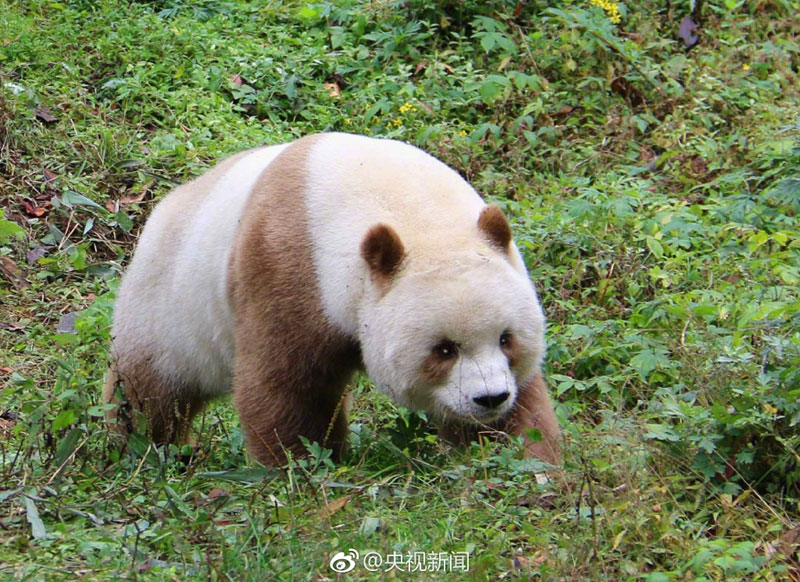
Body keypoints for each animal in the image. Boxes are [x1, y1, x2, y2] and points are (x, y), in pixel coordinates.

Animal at [104, 133, 561, 466]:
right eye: (444, 349)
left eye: (506, 338)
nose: (489, 398)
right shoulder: (289, 265)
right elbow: (286, 385)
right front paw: (301, 470)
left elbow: (524, 402)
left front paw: (521, 460)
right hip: (168, 303)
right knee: (148, 392)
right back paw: (139, 448)